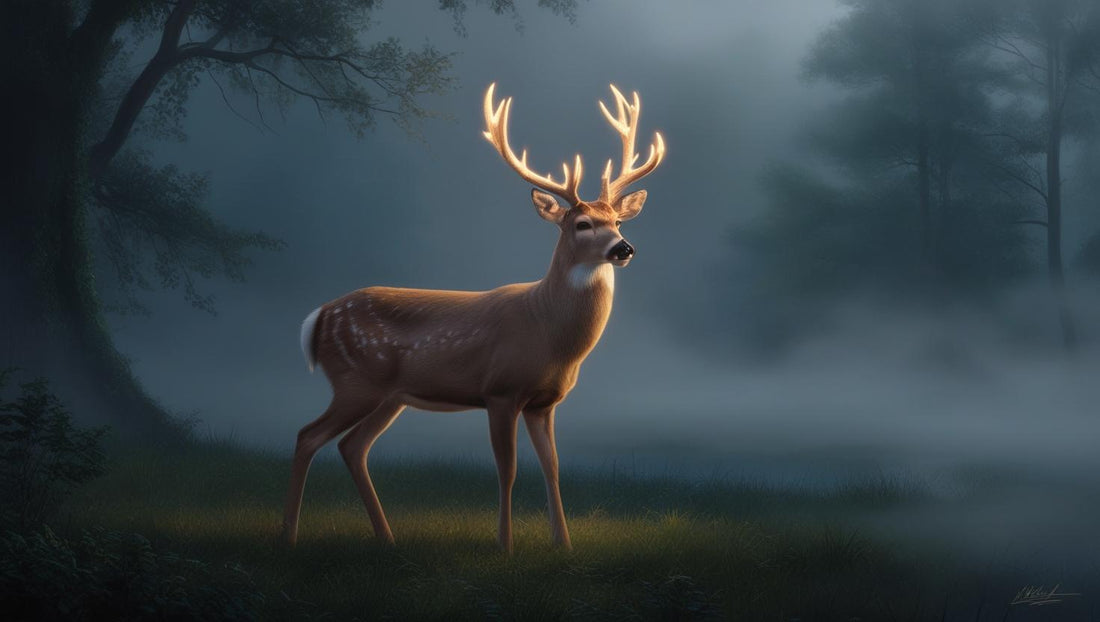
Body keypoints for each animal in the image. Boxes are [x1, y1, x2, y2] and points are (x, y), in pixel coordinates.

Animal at [282, 83, 665, 552]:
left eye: (617, 221)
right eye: (582, 224)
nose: (623, 248)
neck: (549, 332)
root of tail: (318, 317)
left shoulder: (545, 402)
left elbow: (553, 468)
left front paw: (564, 544)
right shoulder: (499, 390)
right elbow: (508, 469)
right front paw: (505, 545)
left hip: (390, 395)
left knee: (352, 446)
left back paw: (386, 538)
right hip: (356, 380)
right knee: (308, 436)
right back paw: (288, 537)